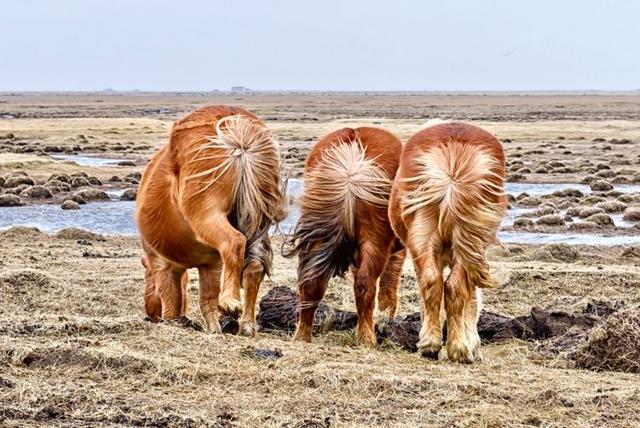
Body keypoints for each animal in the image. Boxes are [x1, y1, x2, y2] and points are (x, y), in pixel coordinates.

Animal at [136, 105, 284, 336]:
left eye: (146, 278)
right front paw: (215, 330)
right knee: (254, 268)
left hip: (207, 214)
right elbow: (207, 302)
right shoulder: (211, 265)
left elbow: (172, 301)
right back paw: (246, 326)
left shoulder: (162, 264)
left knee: (234, 242)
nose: (149, 315)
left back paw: (230, 302)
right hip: (257, 224)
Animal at [284, 127, 404, 348]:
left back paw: (302, 336)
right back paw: (367, 338)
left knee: (311, 284)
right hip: (375, 240)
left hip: (320, 238)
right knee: (365, 284)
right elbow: (388, 289)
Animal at [388, 122, 508, 362]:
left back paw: (438, 346)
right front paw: (474, 344)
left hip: (431, 241)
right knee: (451, 286)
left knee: (437, 283)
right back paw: (453, 348)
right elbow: (472, 300)